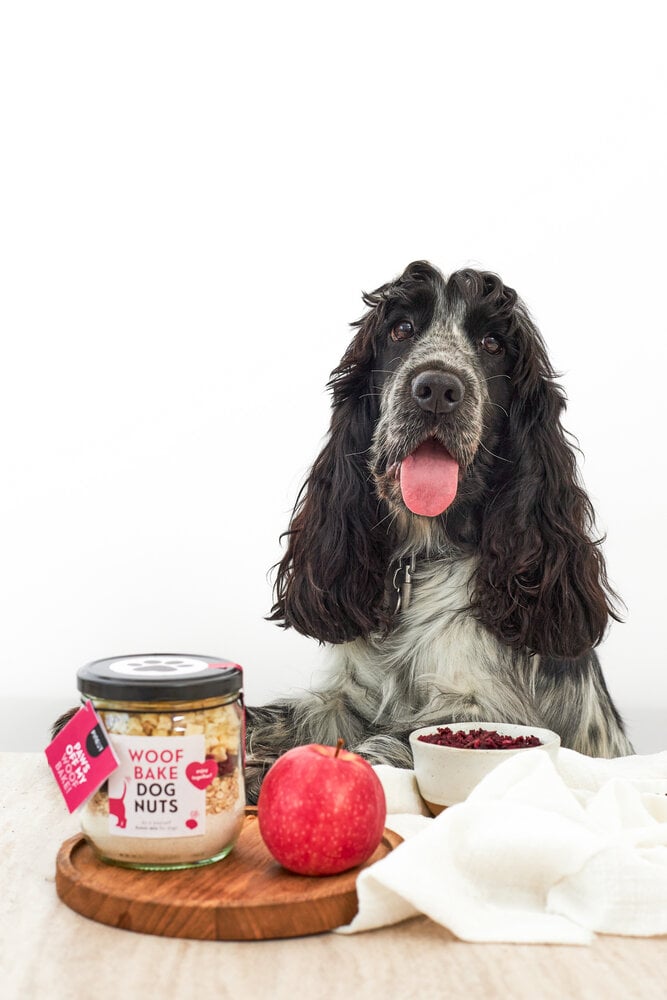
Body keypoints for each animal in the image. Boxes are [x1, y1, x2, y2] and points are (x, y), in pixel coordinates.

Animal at [243, 260, 636, 804]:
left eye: (493, 343)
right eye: (400, 329)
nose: (437, 390)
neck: (421, 561)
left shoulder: (483, 709)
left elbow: (388, 743)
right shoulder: (347, 696)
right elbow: (287, 715)